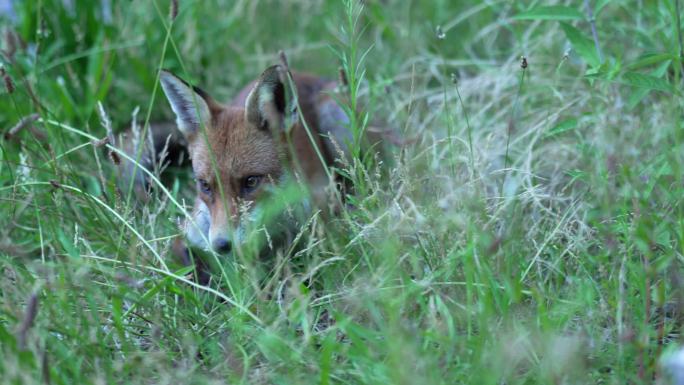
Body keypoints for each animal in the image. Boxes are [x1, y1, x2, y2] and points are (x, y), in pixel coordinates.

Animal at [121, 63, 364, 272]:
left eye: (251, 181)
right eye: (205, 185)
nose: (221, 245)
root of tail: (302, 72)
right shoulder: (188, 235)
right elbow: (191, 266)